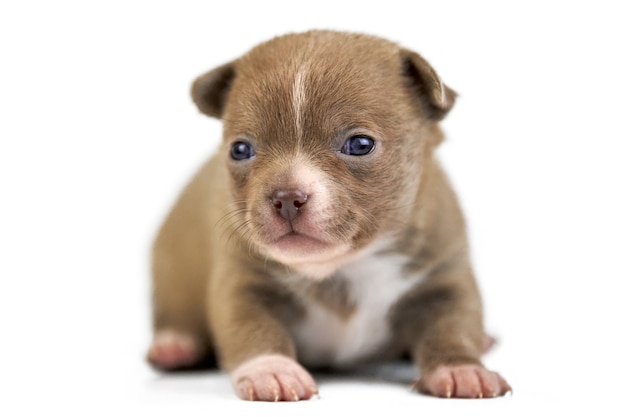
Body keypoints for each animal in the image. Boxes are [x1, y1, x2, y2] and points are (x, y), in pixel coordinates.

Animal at [146, 30, 508, 400]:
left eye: (360, 144)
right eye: (240, 150)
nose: (286, 197)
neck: (341, 268)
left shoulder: (443, 276)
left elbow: (452, 326)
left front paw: (462, 369)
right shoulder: (243, 280)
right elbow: (251, 328)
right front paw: (271, 371)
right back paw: (175, 345)